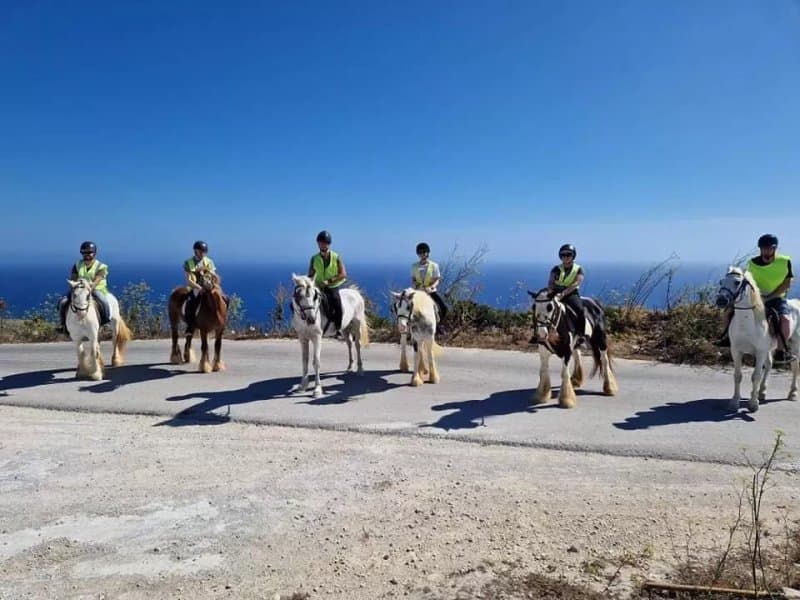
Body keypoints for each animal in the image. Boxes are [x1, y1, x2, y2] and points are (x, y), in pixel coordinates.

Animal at [715, 266, 800, 412]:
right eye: (721, 282)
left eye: (737, 282)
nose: (721, 300)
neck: (746, 324)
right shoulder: (736, 351)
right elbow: (738, 376)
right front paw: (734, 402)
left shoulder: (759, 353)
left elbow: (756, 376)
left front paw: (753, 404)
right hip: (768, 349)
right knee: (770, 364)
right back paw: (761, 392)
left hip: (794, 346)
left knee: (794, 366)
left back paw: (792, 393)